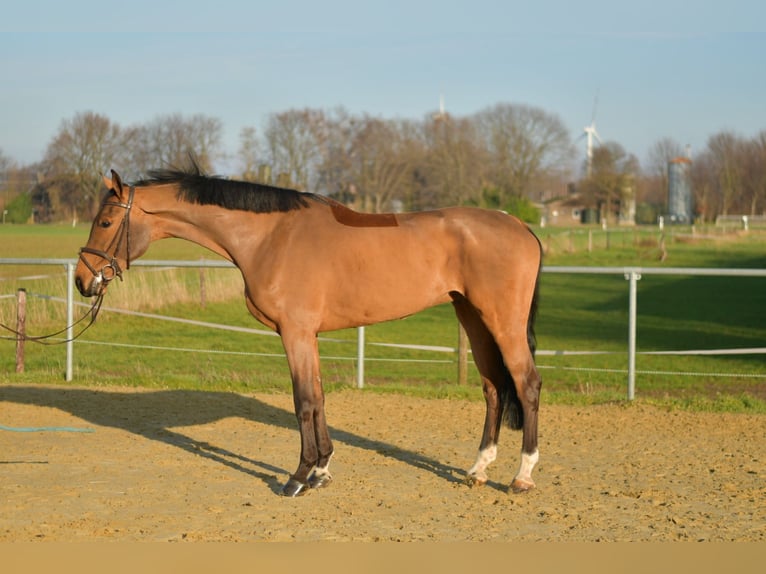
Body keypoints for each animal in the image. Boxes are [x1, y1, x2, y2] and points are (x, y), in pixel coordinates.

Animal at [75, 162, 544, 497]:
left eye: (104, 222)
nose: (82, 280)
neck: (272, 237)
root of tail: (519, 225)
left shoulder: (294, 332)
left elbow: (302, 401)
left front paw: (298, 478)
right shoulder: (308, 336)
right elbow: (318, 399)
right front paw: (321, 471)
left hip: (501, 321)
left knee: (526, 383)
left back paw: (522, 477)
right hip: (472, 317)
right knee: (493, 387)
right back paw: (478, 470)